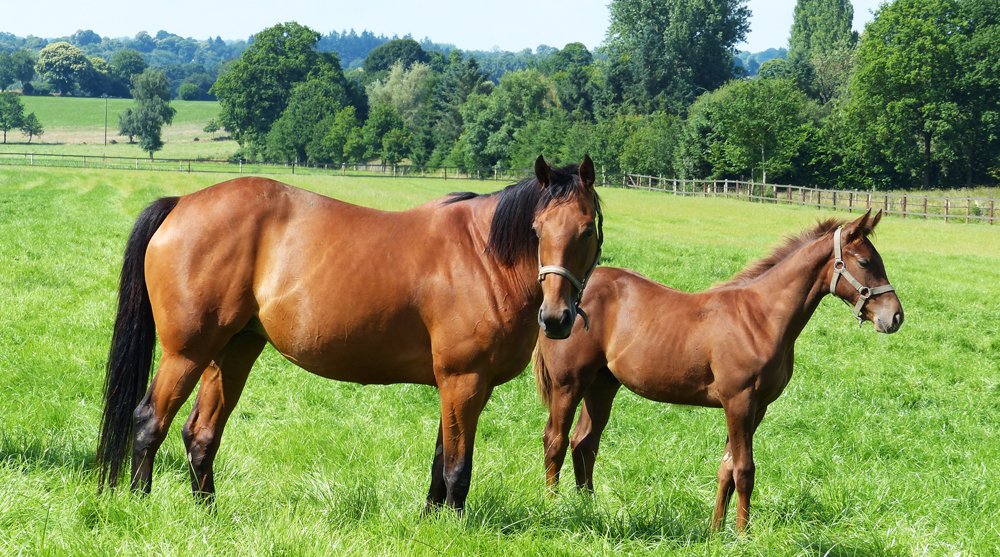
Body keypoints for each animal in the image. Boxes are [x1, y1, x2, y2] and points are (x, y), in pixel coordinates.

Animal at [97, 155, 603, 512]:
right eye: (537, 230)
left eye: (586, 230)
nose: (556, 318)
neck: (483, 255)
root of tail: (180, 204)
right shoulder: (464, 381)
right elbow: (458, 469)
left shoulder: (458, 385)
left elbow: (440, 463)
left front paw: (429, 522)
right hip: (186, 352)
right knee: (150, 422)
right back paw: (141, 504)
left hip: (233, 351)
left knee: (200, 434)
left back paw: (209, 514)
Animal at [533, 210, 903, 532]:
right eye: (866, 262)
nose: (895, 316)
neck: (760, 317)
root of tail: (558, 302)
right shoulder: (738, 401)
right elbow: (744, 469)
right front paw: (742, 534)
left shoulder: (757, 407)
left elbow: (726, 468)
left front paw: (715, 531)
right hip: (569, 383)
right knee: (556, 439)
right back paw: (554, 508)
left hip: (602, 384)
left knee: (585, 443)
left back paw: (587, 508)